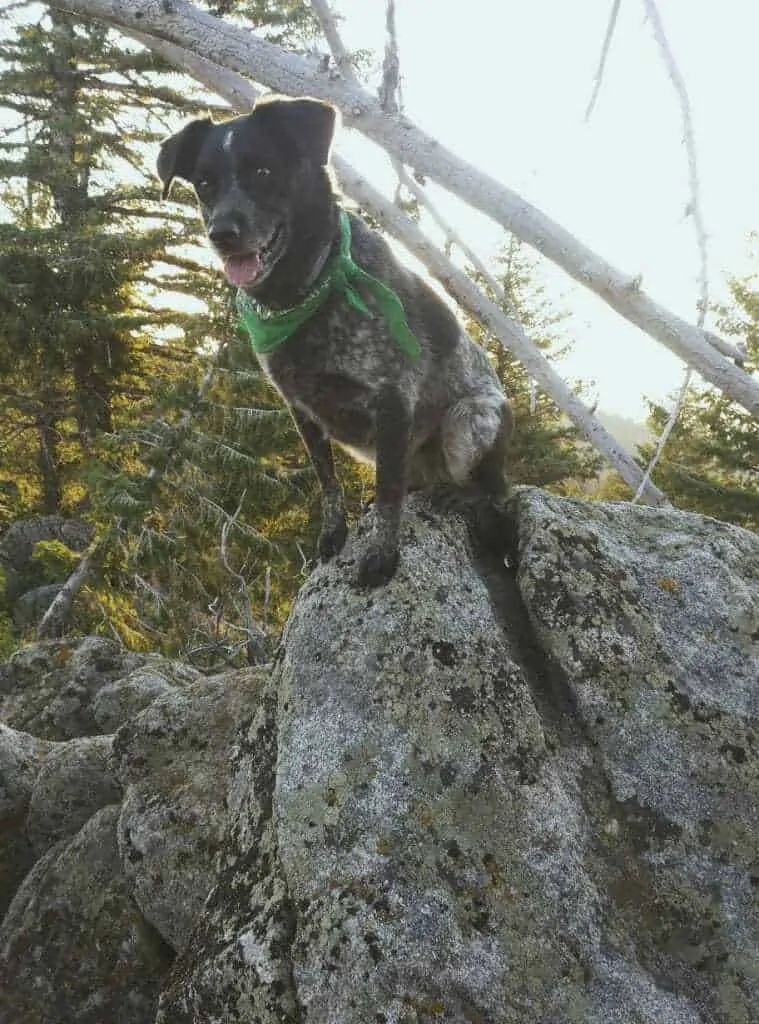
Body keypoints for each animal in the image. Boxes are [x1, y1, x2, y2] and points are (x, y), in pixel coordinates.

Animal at [155, 97, 510, 593]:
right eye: (205, 183)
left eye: (263, 170)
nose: (222, 234)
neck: (305, 291)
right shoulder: (300, 407)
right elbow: (328, 482)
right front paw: (333, 535)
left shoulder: (393, 398)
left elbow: (387, 494)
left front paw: (381, 555)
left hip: (471, 419)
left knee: (494, 492)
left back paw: (458, 497)